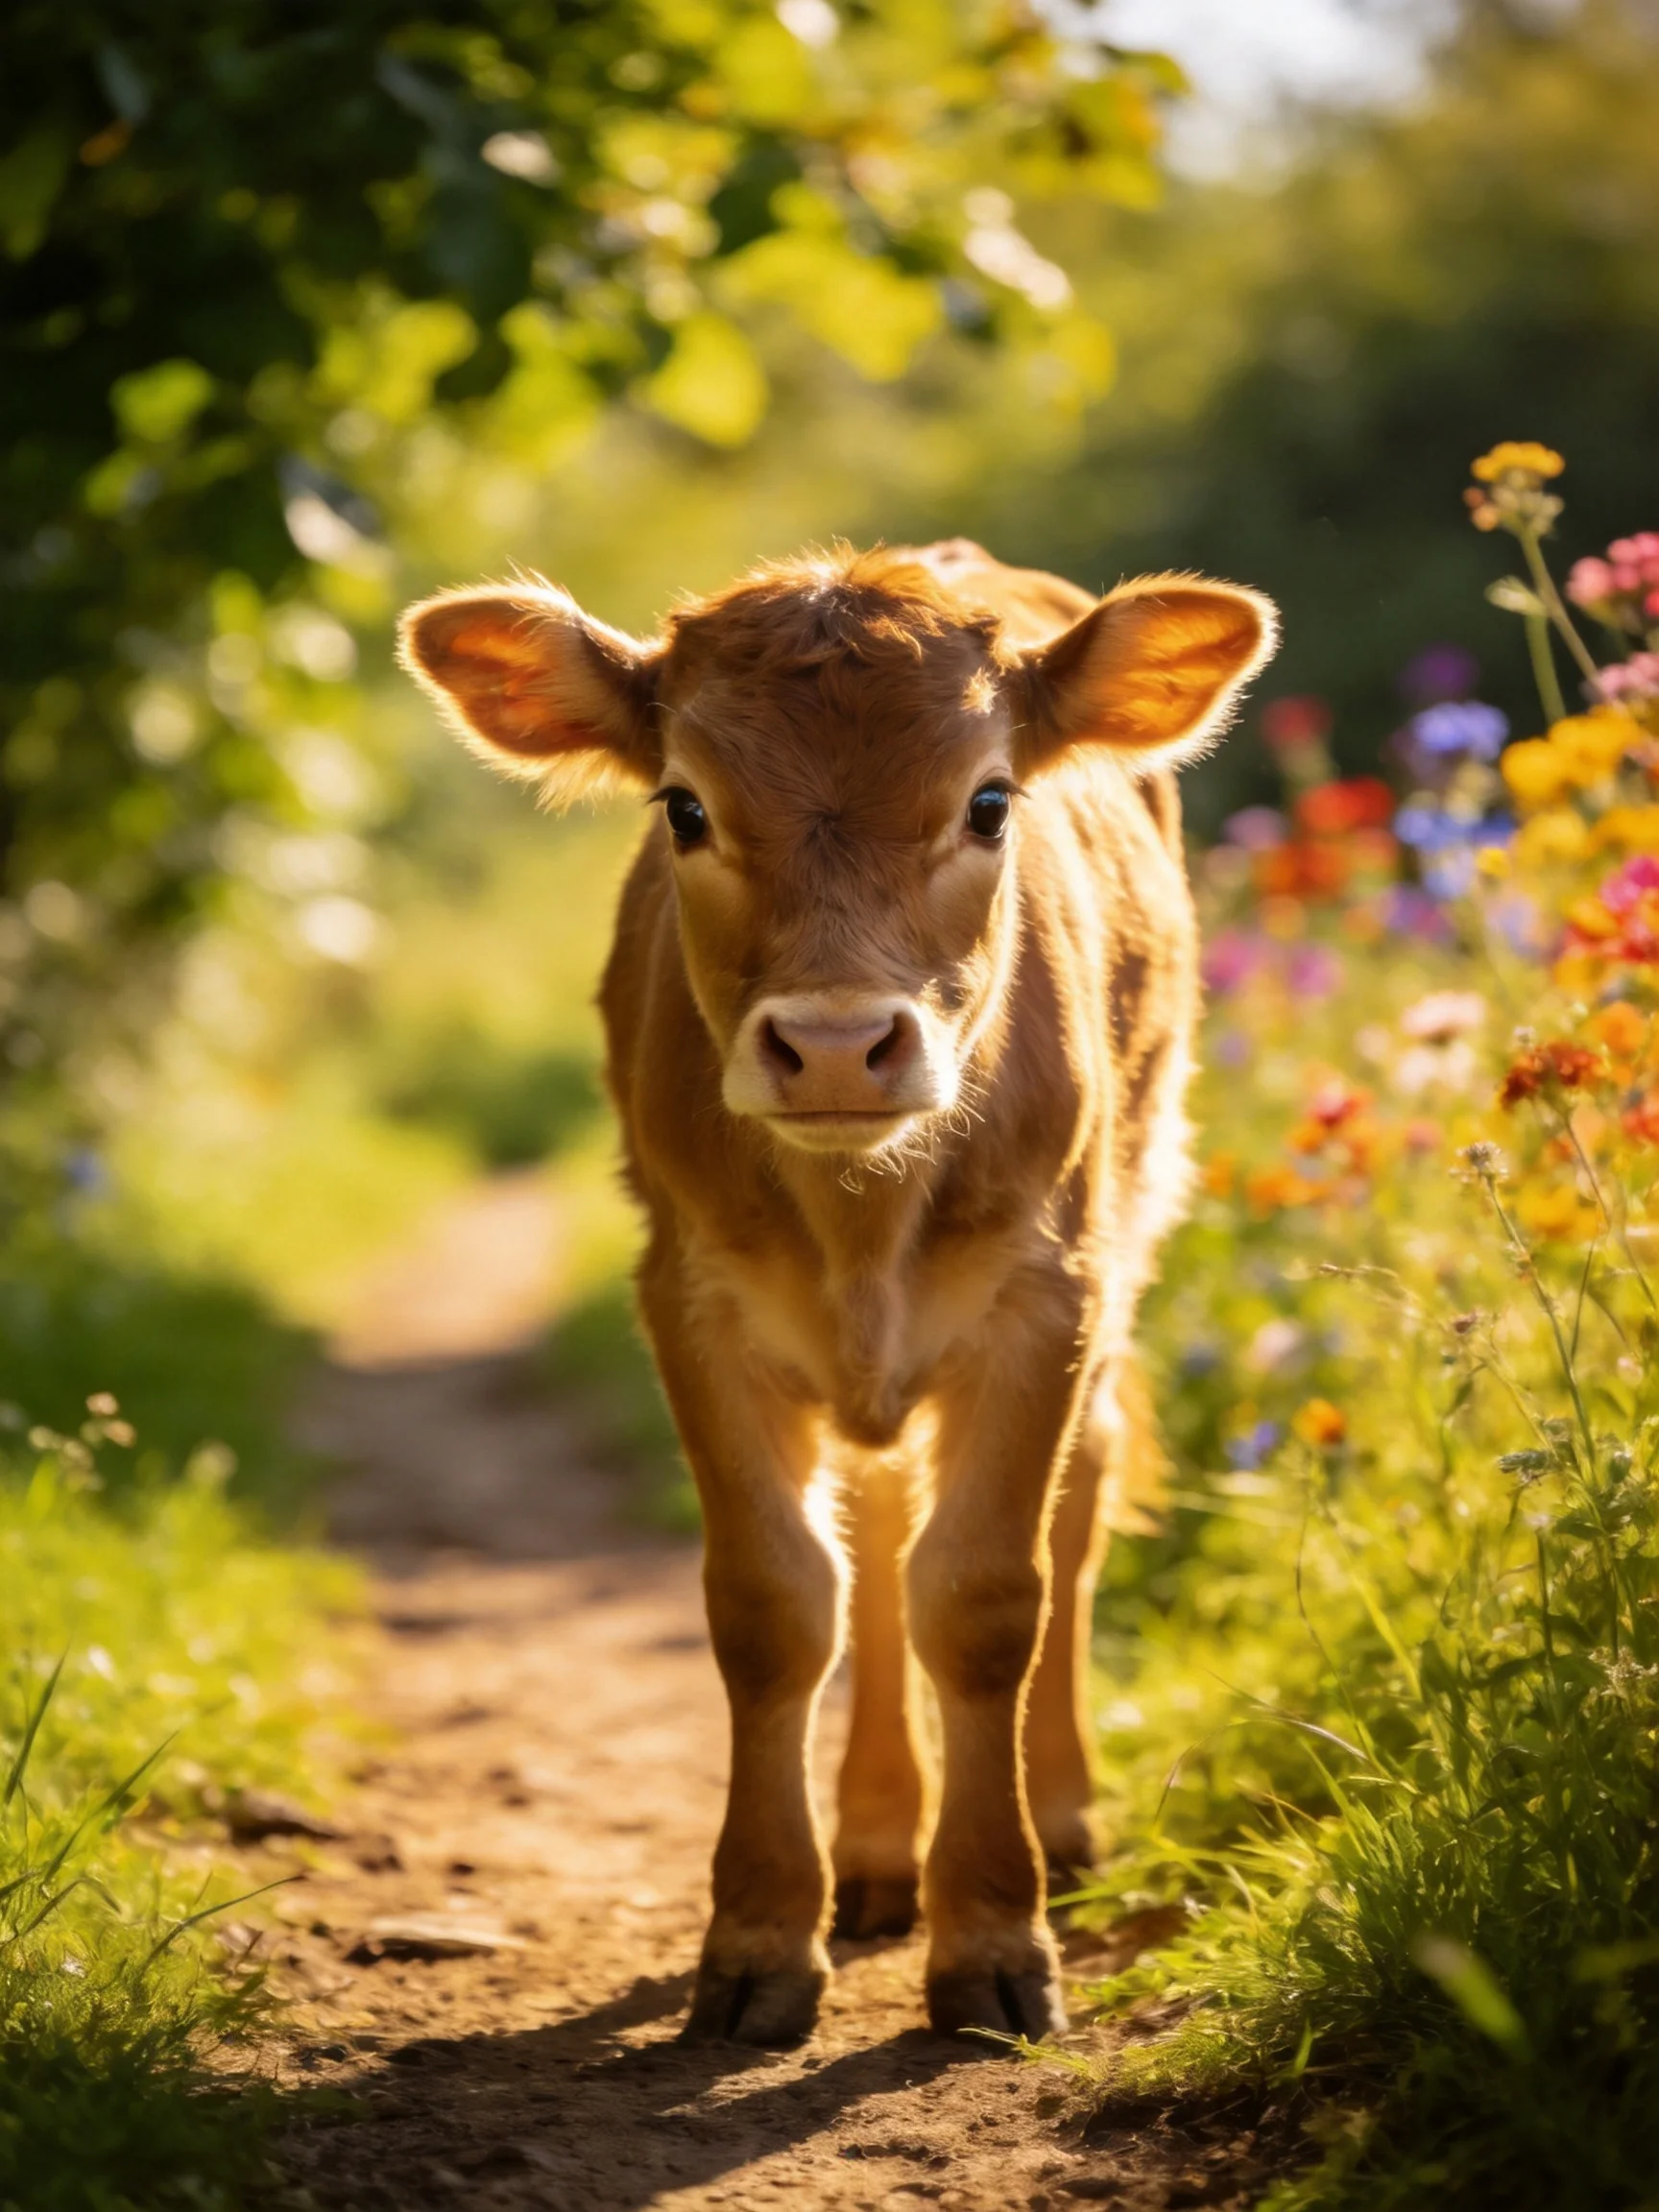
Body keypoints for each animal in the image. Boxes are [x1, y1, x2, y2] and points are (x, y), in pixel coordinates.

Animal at [400, 540, 1277, 2048]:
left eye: (990, 801)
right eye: (685, 805)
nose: (833, 1045)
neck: (862, 1212)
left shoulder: (1047, 1297)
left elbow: (984, 1599)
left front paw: (995, 1933)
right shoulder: (690, 1301)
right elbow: (777, 1606)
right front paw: (762, 1938)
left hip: (1129, 1220)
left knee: (1078, 1502)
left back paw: (1059, 1815)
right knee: (872, 1545)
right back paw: (873, 1852)